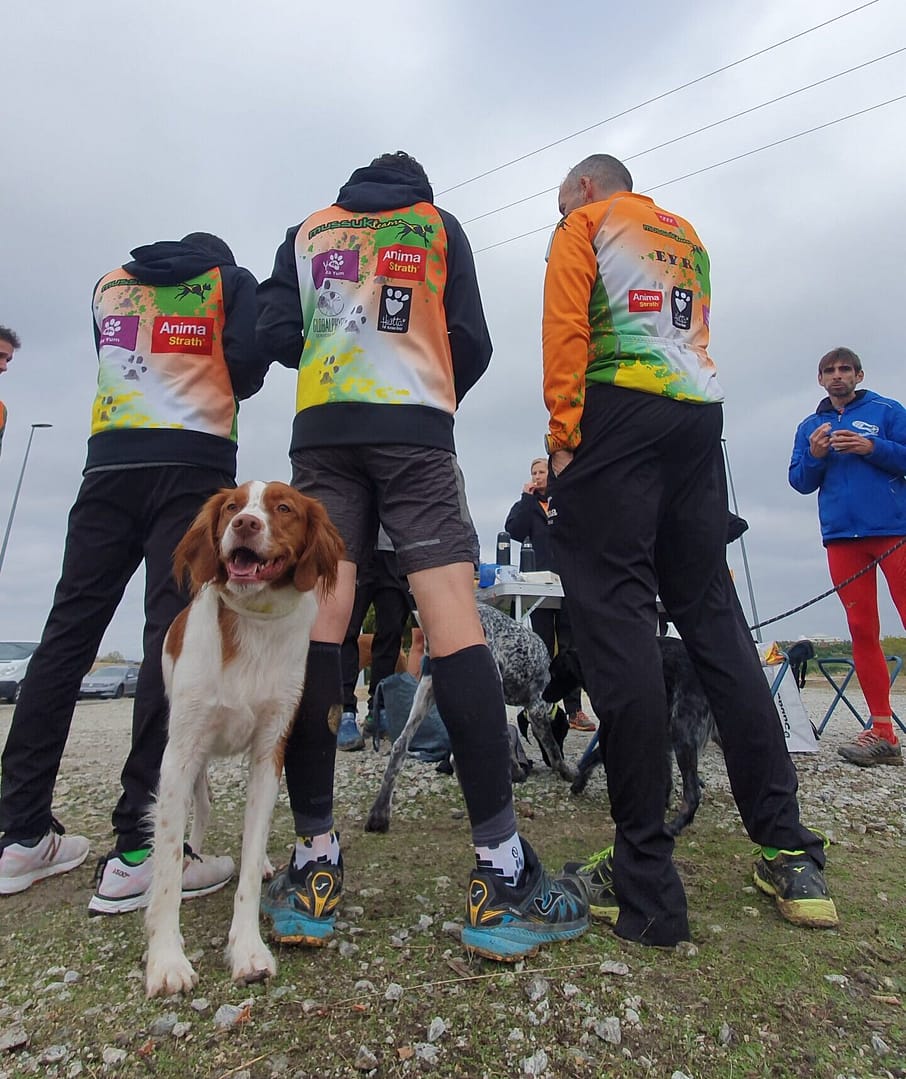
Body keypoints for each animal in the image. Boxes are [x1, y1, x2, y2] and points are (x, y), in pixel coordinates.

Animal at [145, 481, 342, 992]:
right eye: (232, 506)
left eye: (284, 508)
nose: (245, 524)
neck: (254, 622)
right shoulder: (179, 755)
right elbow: (167, 864)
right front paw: (167, 960)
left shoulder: (269, 752)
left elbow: (252, 862)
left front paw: (248, 950)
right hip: (193, 759)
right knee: (199, 813)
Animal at [541, 638, 720, 832]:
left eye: (554, 674)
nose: (543, 695)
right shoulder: (661, 734)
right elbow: (666, 776)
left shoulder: (614, 725)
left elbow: (592, 758)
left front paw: (579, 781)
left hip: (683, 735)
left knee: (693, 792)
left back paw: (675, 826)